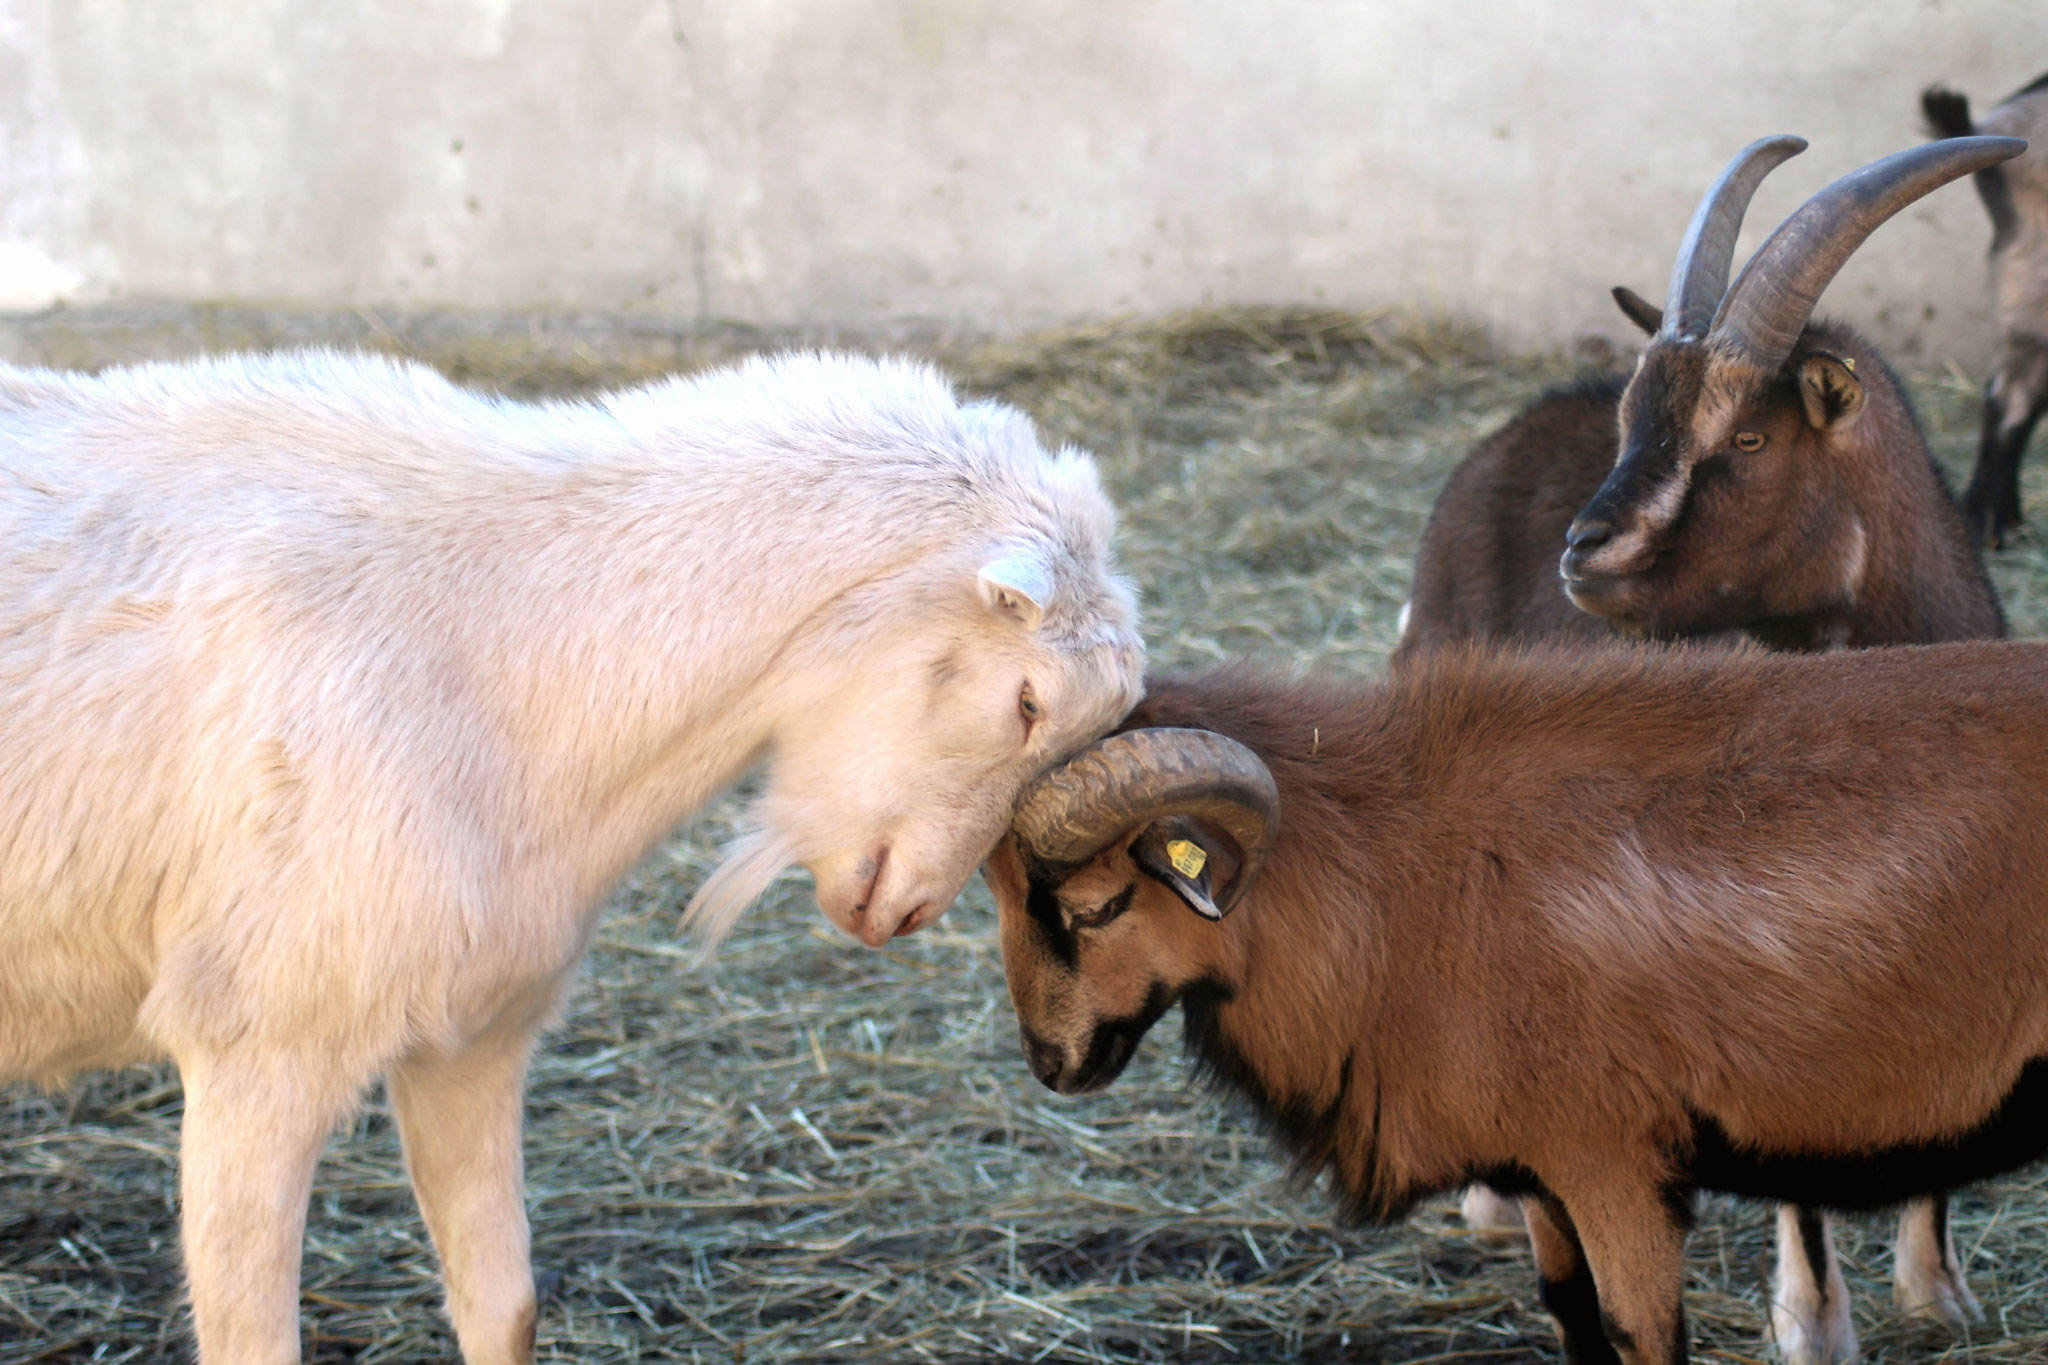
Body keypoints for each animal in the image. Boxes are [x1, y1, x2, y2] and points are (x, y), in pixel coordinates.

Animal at [0, 347, 1146, 1358]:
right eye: (1027, 700)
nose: (903, 911)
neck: (509, 635)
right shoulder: (256, 1044)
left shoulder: (475, 1034)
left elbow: (504, 1312)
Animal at [983, 646, 2048, 1365]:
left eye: (1099, 905)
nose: (1052, 1063)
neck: (1393, 885)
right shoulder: (1541, 1165)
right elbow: (1571, 1315)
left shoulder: (1617, 1161)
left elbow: (1639, 1334)